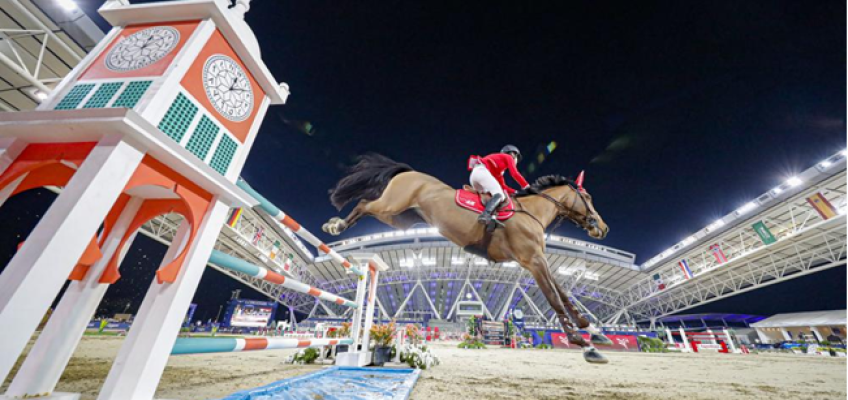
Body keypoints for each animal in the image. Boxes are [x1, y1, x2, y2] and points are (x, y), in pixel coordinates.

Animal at [322, 155, 608, 364]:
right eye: (588, 198)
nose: (602, 228)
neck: (532, 213)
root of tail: (409, 172)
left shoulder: (537, 260)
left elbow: (562, 293)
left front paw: (592, 329)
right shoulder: (533, 260)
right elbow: (554, 297)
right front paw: (584, 344)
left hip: (397, 216)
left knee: (367, 207)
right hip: (391, 205)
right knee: (363, 204)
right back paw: (336, 225)